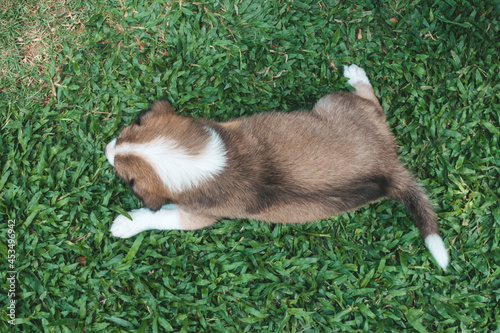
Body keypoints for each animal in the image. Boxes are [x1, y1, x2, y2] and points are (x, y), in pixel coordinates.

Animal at [104, 64, 450, 270]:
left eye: (127, 180)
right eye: (130, 128)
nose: (107, 148)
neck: (204, 160)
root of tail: (390, 166)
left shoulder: (196, 217)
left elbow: (159, 217)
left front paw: (126, 224)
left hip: (331, 101)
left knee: (371, 100)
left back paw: (357, 76)